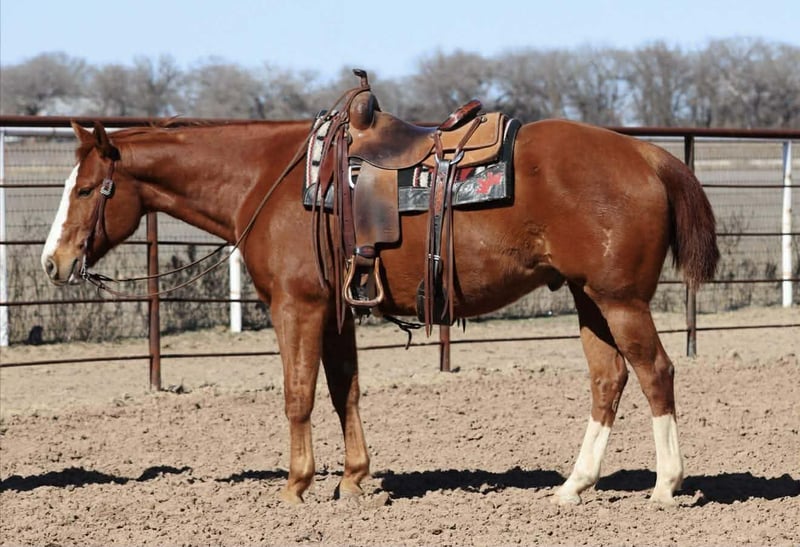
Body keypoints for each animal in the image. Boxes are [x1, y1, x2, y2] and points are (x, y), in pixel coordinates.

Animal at [41, 81, 718, 507]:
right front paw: (353, 481)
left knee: (655, 372)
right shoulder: (337, 311)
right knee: (609, 379)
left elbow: (298, 394)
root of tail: (648, 155)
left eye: (86, 189)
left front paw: (296, 487)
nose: (53, 262)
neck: (271, 180)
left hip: (620, 299)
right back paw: (574, 486)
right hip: (588, 298)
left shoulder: (297, 307)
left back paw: (666, 486)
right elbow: (346, 392)